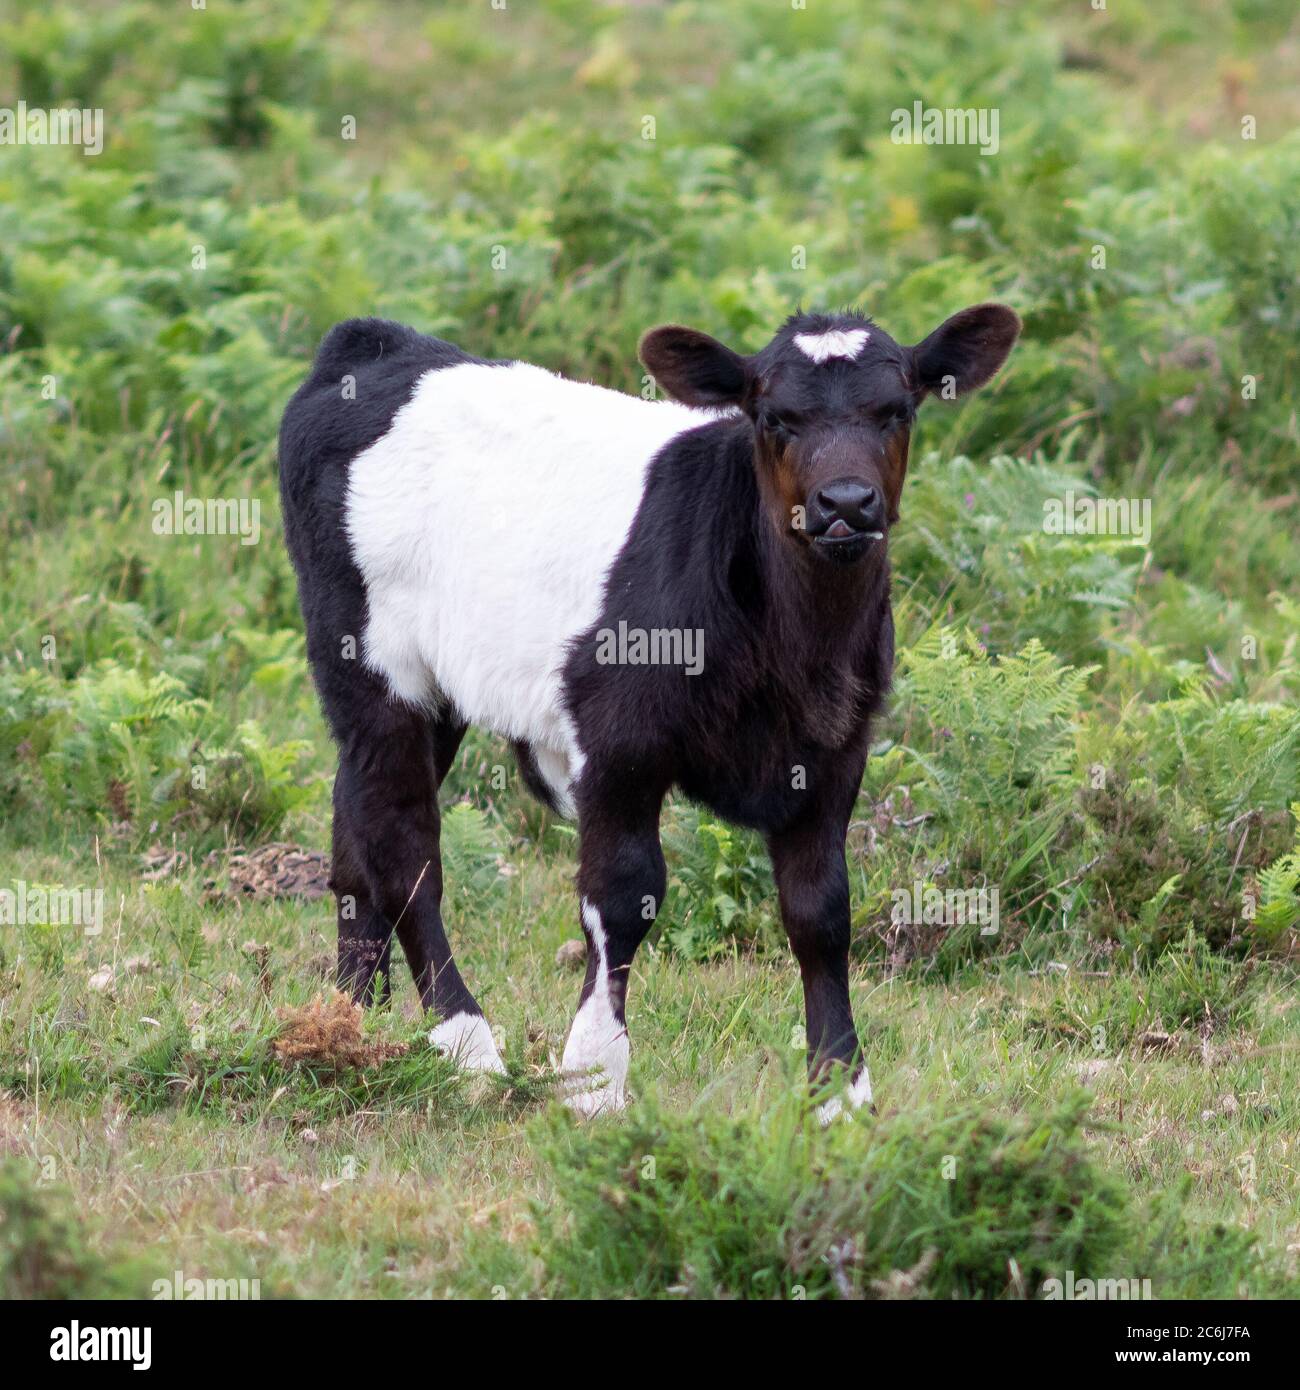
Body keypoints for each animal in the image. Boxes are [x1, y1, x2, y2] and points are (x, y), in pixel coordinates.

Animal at [278, 303, 1020, 1119]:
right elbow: (623, 896)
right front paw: (593, 1078)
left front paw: (841, 1092)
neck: (794, 647)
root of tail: (377, 340)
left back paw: (349, 1022)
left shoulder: (834, 753)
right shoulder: (617, 744)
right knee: (404, 849)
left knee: (354, 826)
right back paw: (467, 1045)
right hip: (373, 665)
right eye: (774, 417)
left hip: (424, 695)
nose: (847, 504)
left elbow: (821, 913)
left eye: (897, 411)